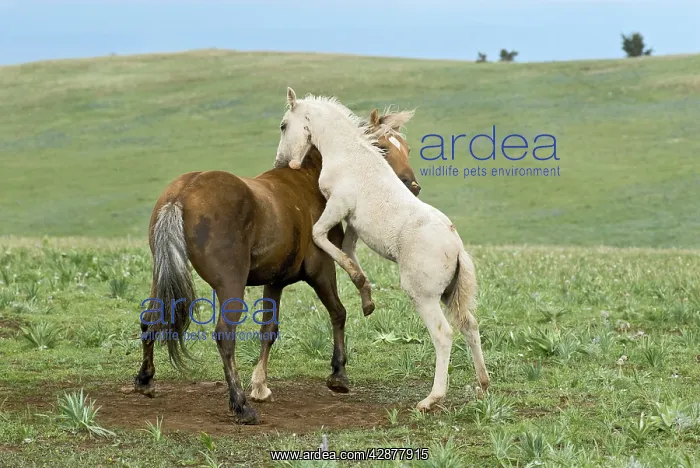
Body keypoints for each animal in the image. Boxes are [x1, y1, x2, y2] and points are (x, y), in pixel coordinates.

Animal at [134, 108, 420, 425]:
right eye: (382, 148)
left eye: (406, 149)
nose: (413, 187)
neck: (310, 182)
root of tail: (182, 194)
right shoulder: (322, 271)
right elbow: (338, 313)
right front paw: (338, 375)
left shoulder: (275, 282)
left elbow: (269, 330)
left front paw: (260, 385)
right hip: (231, 285)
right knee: (225, 336)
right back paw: (241, 406)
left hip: (163, 274)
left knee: (150, 318)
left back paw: (145, 380)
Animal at [274, 88, 490, 412]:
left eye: (284, 125)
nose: (281, 162)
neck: (350, 154)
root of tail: (457, 248)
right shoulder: (353, 223)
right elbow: (347, 249)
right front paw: (366, 297)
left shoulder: (337, 206)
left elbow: (320, 237)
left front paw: (359, 284)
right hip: (452, 294)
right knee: (470, 326)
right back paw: (483, 385)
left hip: (423, 297)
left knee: (443, 334)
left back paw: (431, 399)